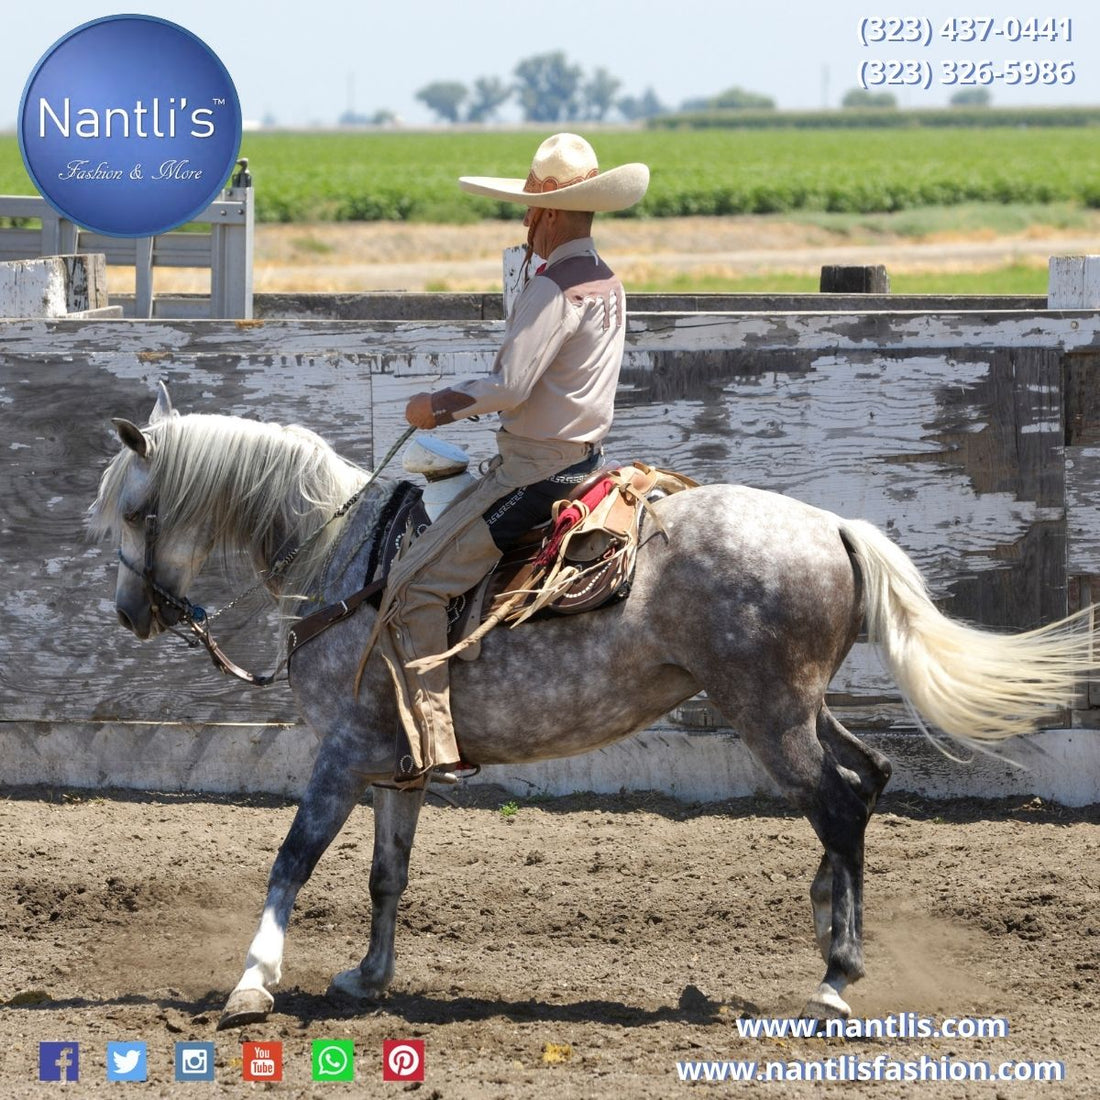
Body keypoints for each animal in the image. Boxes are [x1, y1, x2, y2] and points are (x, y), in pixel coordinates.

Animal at [89, 384, 1096, 1030]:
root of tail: (833, 526)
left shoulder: (339, 753)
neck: (345, 557)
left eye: (135, 512)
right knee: (869, 777)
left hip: (767, 710)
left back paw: (836, 979)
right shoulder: (396, 759)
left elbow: (290, 861)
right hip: (796, 704)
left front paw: (252, 983)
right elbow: (386, 875)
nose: (130, 613)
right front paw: (368, 977)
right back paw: (827, 923)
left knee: (839, 801)